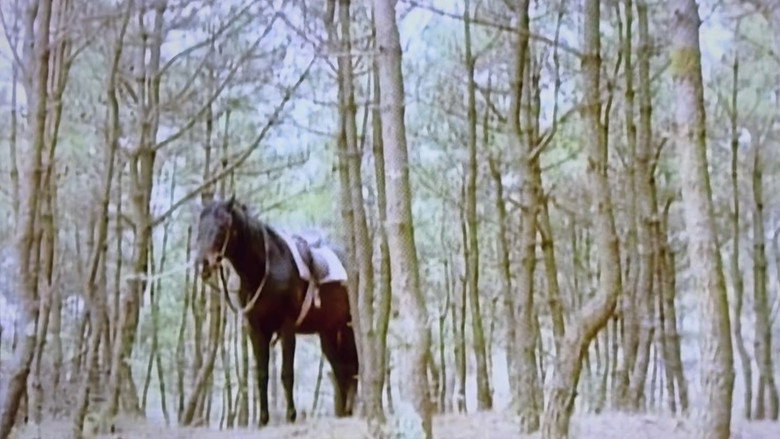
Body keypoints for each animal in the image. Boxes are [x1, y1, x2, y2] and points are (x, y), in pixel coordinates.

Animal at [195, 196, 358, 426]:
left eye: (223, 225)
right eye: (199, 225)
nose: (203, 264)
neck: (266, 268)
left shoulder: (286, 328)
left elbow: (286, 374)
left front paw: (291, 415)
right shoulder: (255, 330)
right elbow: (262, 374)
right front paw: (263, 419)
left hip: (349, 327)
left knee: (353, 366)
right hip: (328, 332)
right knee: (341, 369)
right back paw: (345, 412)